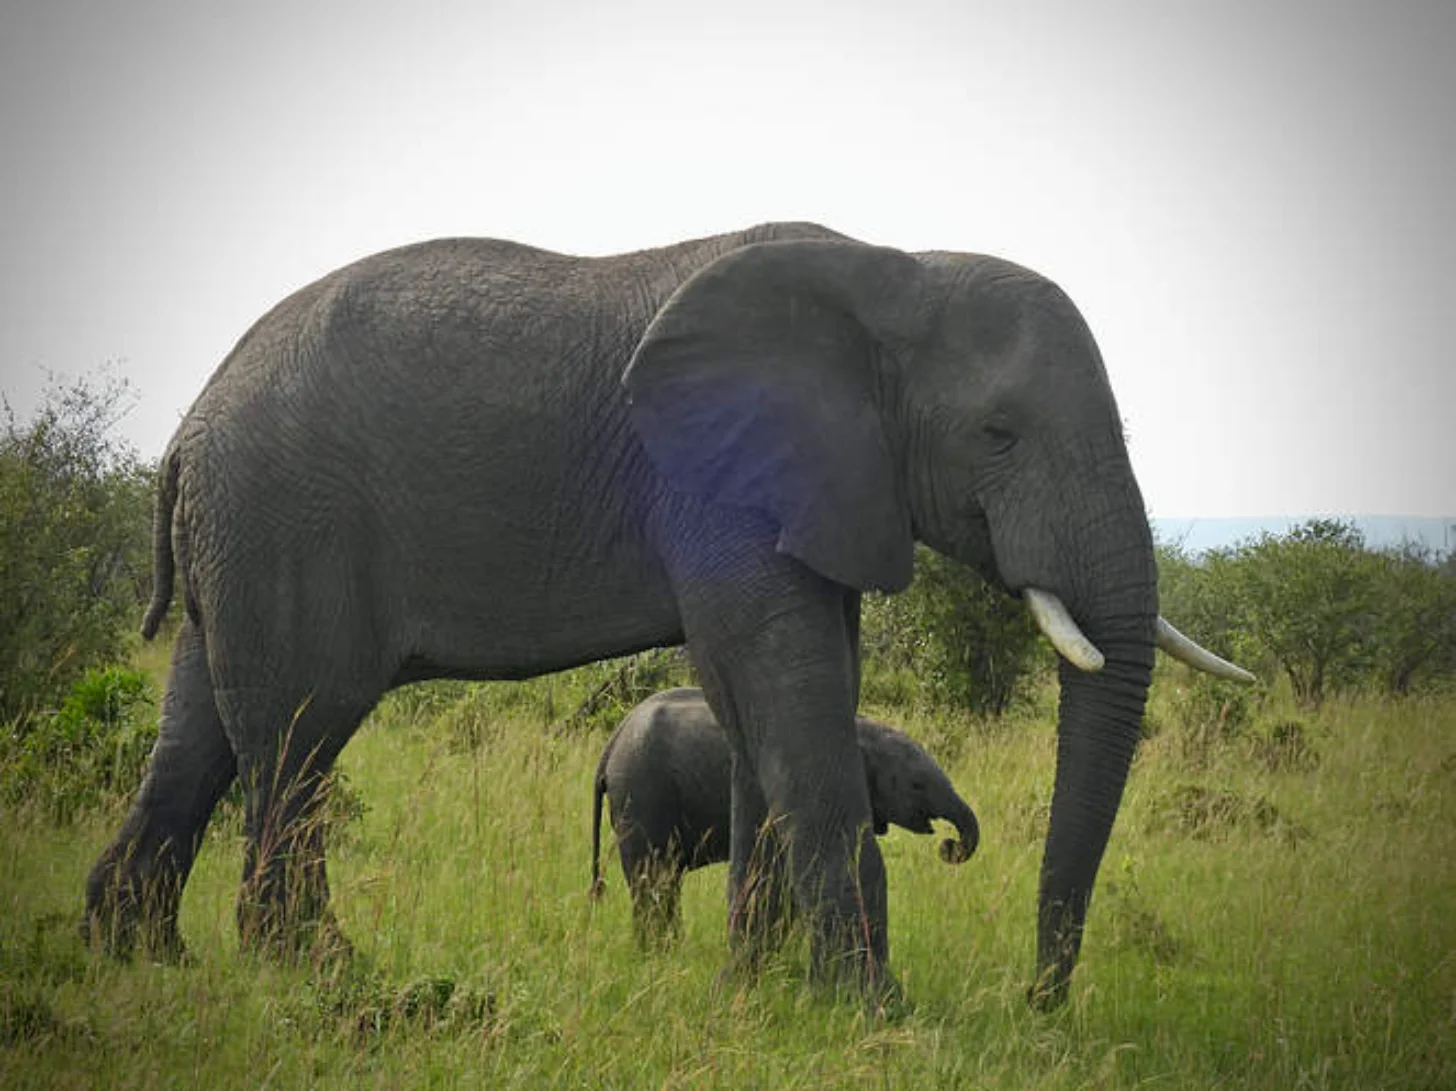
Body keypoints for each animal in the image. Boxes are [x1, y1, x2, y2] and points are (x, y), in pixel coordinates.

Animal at [590, 687, 978, 944]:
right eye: (916, 785)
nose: (949, 845)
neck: (862, 730)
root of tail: (613, 742)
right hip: (643, 794)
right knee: (653, 879)